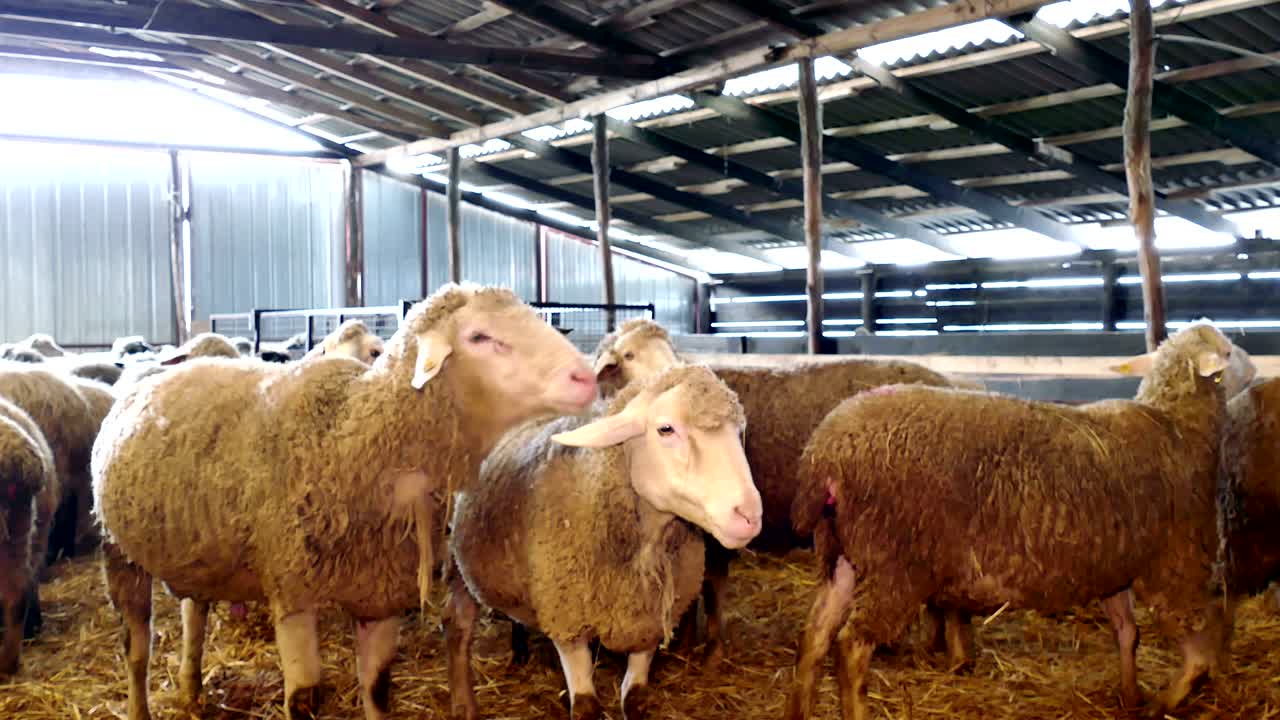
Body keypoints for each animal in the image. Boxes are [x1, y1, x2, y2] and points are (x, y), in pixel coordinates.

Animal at [93, 283, 598, 720]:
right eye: (479, 336)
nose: (585, 377)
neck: (345, 438)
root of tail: (163, 369)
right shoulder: (292, 593)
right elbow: (303, 700)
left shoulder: (379, 597)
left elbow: (376, 691)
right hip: (118, 550)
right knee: (137, 649)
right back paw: (141, 705)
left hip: (198, 551)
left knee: (193, 613)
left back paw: (190, 690)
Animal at [447, 365, 761, 720]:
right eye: (666, 429)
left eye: (738, 432)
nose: (750, 515)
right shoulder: (566, 618)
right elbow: (586, 706)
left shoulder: (646, 622)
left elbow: (634, 697)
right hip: (460, 562)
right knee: (457, 626)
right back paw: (464, 702)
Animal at [785, 323, 1239, 720]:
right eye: (1230, 352)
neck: (1178, 429)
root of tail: (824, 453)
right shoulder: (1170, 566)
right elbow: (1198, 653)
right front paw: (1161, 703)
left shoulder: (1115, 565)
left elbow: (1127, 633)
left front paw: (1130, 696)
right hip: (895, 564)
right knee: (852, 648)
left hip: (845, 555)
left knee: (814, 637)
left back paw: (799, 709)